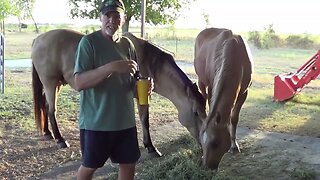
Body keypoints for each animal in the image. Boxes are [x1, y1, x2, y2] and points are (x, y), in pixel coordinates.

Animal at [31, 28, 206, 157]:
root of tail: (38, 39)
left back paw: (48, 133)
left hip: (57, 84)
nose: (204, 144)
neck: (149, 60)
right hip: (50, 83)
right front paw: (150, 147)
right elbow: (144, 120)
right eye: (196, 112)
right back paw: (60, 139)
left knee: (45, 105)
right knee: (51, 109)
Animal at [194, 27, 254, 169]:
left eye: (215, 143)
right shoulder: (212, 86)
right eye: (201, 142)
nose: (206, 166)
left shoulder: (244, 93)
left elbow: (234, 118)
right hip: (201, 81)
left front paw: (234, 146)